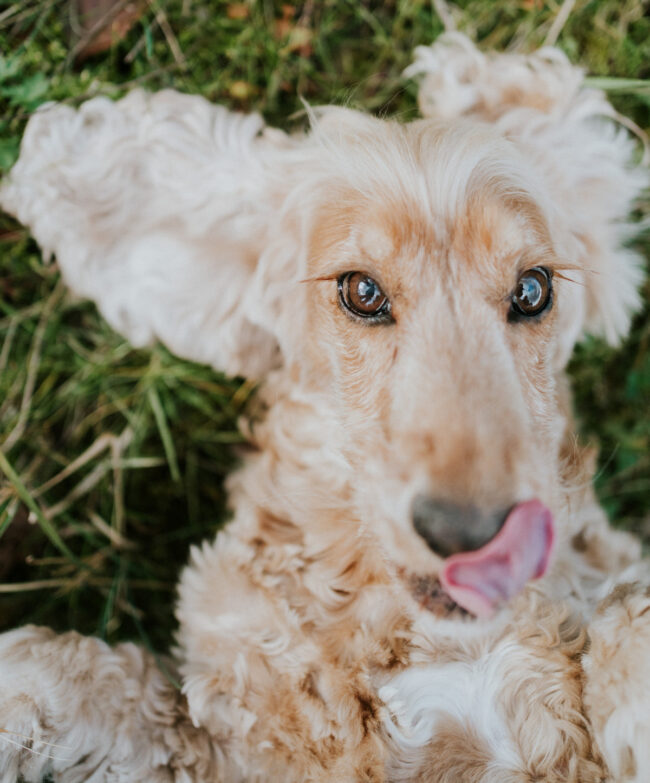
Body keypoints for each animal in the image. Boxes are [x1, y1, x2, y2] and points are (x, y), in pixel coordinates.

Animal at [1, 35, 648, 783]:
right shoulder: (221, 740)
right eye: (362, 291)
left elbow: (627, 617)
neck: (432, 643)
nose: (474, 533)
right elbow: (60, 672)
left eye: (534, 289)